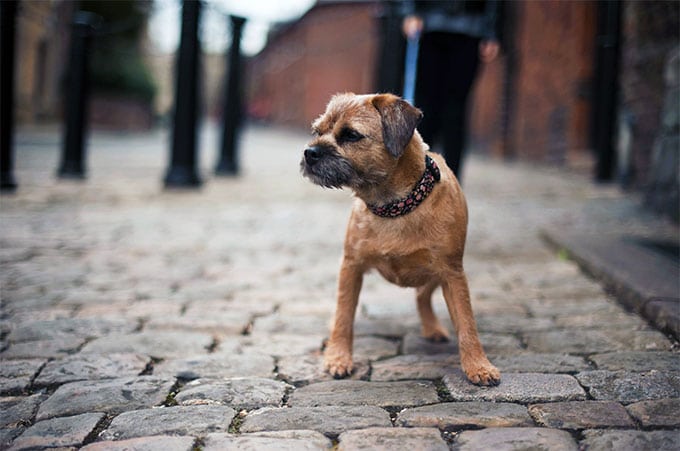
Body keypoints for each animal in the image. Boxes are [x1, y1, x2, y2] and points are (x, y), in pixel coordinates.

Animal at [300, 93, 502, 386]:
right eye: (318, 131)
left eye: (351, 135)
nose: (309, 152)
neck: (395, 205)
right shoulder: (350, 267)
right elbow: (344, 315)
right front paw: (338, 358)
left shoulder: (453, 274)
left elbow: (467, 323)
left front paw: (478, 366)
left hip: (436, 275)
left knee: (422, 296)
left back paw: (432, 328)